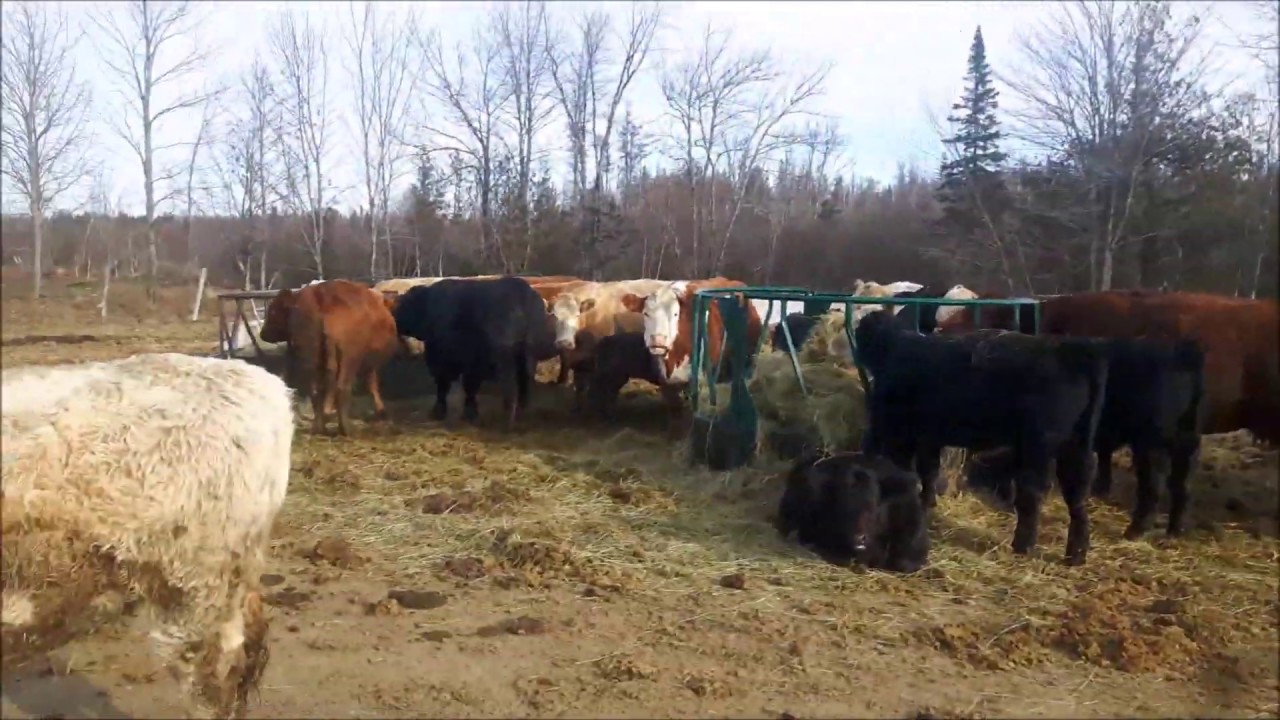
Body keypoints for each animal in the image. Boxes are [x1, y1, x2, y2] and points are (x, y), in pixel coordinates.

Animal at [260, 279, 400, 436]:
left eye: (273, 310)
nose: (263, 334)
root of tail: (323, 298)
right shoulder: (369, 364)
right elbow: (372, 384)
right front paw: (382, 412)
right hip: (349, 359)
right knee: (342, 387)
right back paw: (346, 429)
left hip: (312, 357)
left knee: (316, 390)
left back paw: (318, 427)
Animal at [392, 276, 555, 426]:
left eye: (404, 304)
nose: (394, 318)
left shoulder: (445, 360)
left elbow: (447, 386)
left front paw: (444, 412)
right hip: (527, 356)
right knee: (524, 383)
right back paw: (522, 414)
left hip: (505, 359)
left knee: (510, 385)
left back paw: (507, 417)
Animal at [854, 309, 1110, 565]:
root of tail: (1072, 350)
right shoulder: (929, 436)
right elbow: (929, 471)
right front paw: (927, 505)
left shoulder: (901, 434)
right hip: (1076, 447)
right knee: (1077, 495)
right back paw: (1076, 555)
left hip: (1039, 446)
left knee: (1033, 492)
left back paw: (1022, 545)